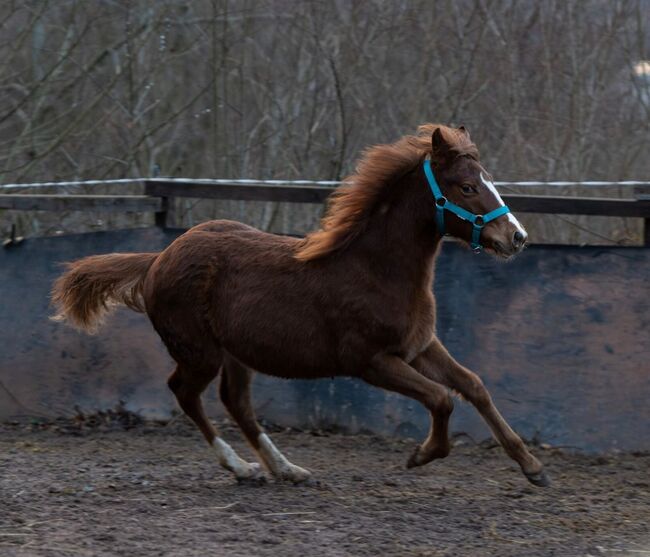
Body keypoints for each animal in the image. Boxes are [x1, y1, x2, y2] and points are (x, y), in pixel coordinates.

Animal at [52, 125, 548, 486]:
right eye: (466, 187)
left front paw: (533, 467)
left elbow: (474, 386)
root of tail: (158, 259)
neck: (377, 269)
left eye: (488, 182)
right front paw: (421, 455)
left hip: (236, 354)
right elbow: (442, 399)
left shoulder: (420, 346)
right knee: (186, 393)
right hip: (200, 353)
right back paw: (242, 467)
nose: (516, 237)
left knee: (236, 402)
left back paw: (286, 469)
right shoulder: (371, 362)